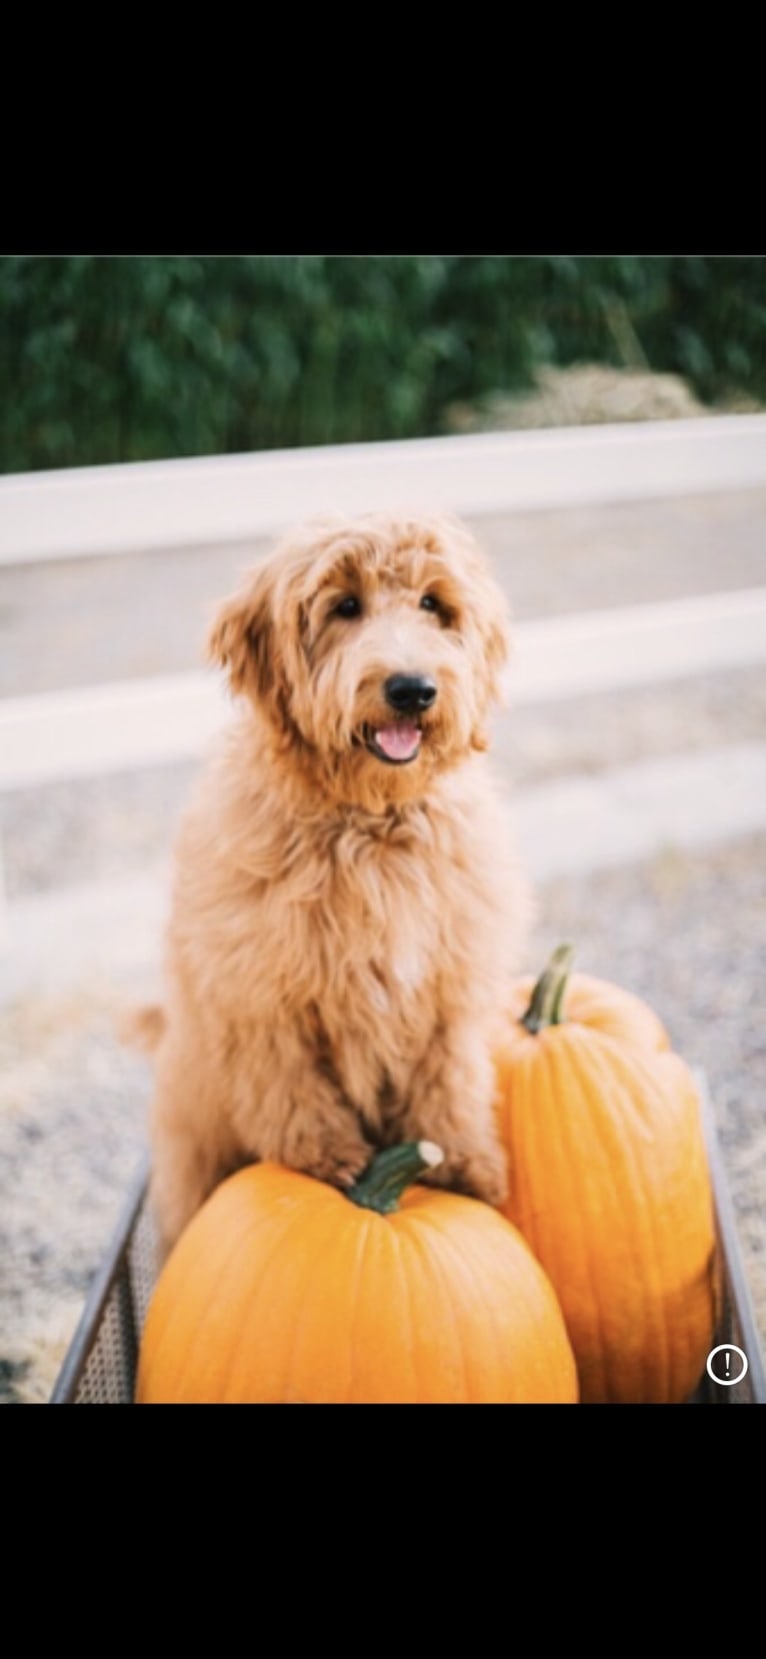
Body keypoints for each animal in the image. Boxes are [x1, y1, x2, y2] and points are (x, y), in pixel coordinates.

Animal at [143, 510, 530, 1247]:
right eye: (345, 606)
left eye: (434, 604)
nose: (412, 688)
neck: (371, 828)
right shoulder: (261, 992)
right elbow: (289, 1083)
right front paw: (328, 1158)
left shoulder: (452, 981)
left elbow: (451, 1074)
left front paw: (462, 1158)